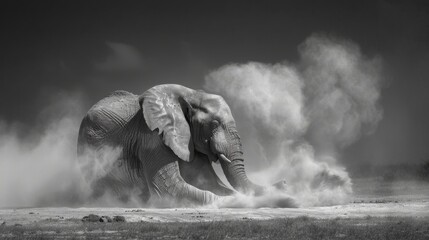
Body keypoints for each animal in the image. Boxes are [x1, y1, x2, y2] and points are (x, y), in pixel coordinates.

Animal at [77, 83, 288, 205]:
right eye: (214, 124)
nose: (284, 182)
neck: (190, 95)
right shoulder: (152, 136)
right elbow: (169, 190)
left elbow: (210, 184)